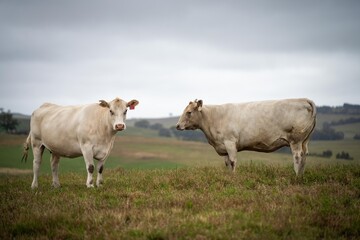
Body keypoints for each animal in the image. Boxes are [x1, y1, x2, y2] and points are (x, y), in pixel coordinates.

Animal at [176, 98, 316, 175]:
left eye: (189, 112)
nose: (177, 125)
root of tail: (304, 99)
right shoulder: (223, 146)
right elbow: (227, 163)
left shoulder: (230, 142)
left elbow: (233, 162)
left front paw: (234, 177)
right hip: (305, 140)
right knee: (304, 156)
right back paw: (301, 175)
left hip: (296, 140)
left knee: (297, 157)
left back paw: (296, 175)